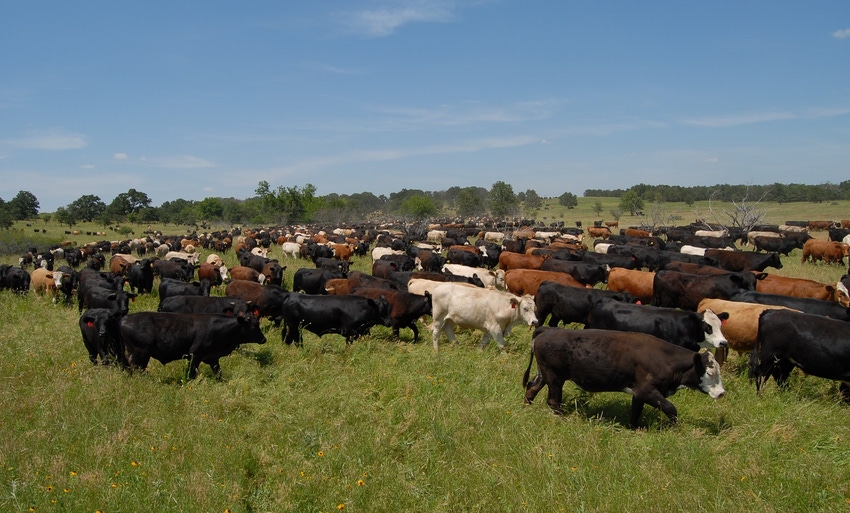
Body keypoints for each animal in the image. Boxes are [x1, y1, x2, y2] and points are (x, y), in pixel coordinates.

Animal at [119, 310, 264, 378]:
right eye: (253, 326)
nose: (263, 339)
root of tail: (126, 318)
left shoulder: (212, 357)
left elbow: (218, 373)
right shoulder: (195, 355)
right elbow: (191, 373)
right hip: (141, 353)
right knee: (138, 368)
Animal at [524, 328, 724, 428]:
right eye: (710, 373)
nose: (721, 393)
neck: (666, 360)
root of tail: (545, 331)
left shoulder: (639, 393)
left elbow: (636, 412)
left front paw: (633, 428)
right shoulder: (648, 391)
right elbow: (671, 408)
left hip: (545, 375)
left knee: (531, 389)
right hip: (555, 378)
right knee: (553, 401)